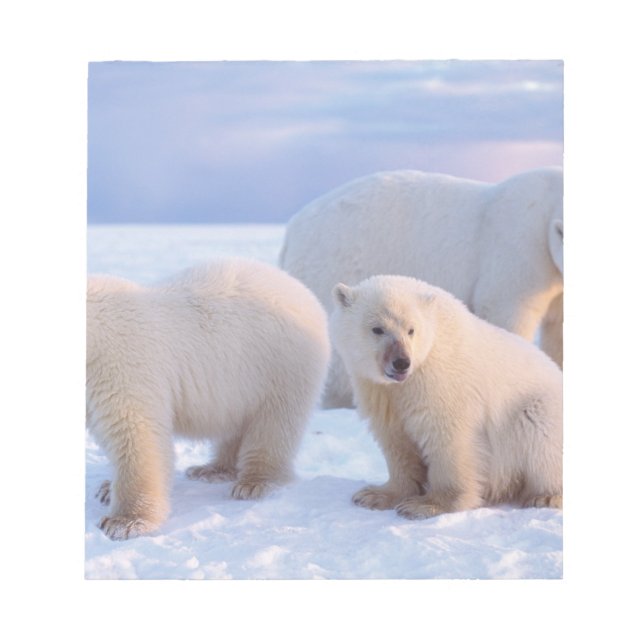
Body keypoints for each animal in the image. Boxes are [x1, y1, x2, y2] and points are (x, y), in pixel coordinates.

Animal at [86, 258, 330, 540]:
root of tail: (303, 291)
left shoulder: (119, 365)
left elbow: (136, 436)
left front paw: (124, 521)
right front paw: (106, 489)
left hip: (281, 366)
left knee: (274, 424)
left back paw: (255, 483)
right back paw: (211, 469)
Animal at [330, 274, 562, 519]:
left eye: (411, 330)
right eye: (377, 329)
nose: (401, 362)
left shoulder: (440, 381)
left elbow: (448, 439)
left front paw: (425, 505)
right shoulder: (379, 390)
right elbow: (396, 440)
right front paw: (374, 495)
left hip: (538, 407)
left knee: (538, 433)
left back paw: (546, 496)